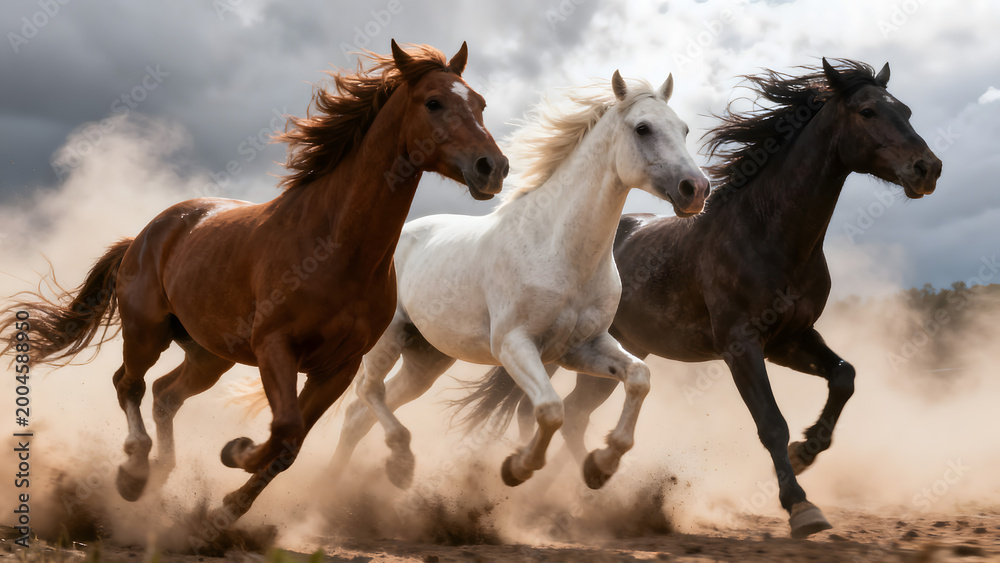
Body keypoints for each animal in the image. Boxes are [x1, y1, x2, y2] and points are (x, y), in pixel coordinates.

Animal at [0, 40, 507, 523]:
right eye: (434, 102)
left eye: (481, 103)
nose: (493, 167)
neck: (336, 248)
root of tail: (144, 235)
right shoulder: (275, 347)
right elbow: (283, 430)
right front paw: (236, 452)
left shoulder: (338, 369)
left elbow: (292, 444)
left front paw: (226, 507)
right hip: (147, 331)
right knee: (129, 383)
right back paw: (134, 473)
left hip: (210, 355)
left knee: (165, 394)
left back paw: (161, 472)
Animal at [322, 71, 710, 492]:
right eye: (643, 128)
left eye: (684, 129)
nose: (696, 189)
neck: (559, 249)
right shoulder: (514, 345)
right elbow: (550, 409)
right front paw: (517, 468)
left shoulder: (582, 347)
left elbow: (639, 378)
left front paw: (600, 465)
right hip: (388, 339)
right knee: (367, 392)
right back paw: (399, 461)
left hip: (426, 360)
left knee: (360, 413)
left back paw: (334, 485)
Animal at [457, 59, 942, 538]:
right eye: (868, 111)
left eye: (907, 111)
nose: (928, 168)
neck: (767, 234)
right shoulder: (740, 345)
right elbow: (771, 423)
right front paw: (801, 507)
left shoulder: (791, 339)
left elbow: (844, 376)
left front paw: (807, 451)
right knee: (551, 412)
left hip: (620, 351)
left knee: (575, 414)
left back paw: (586, 489)